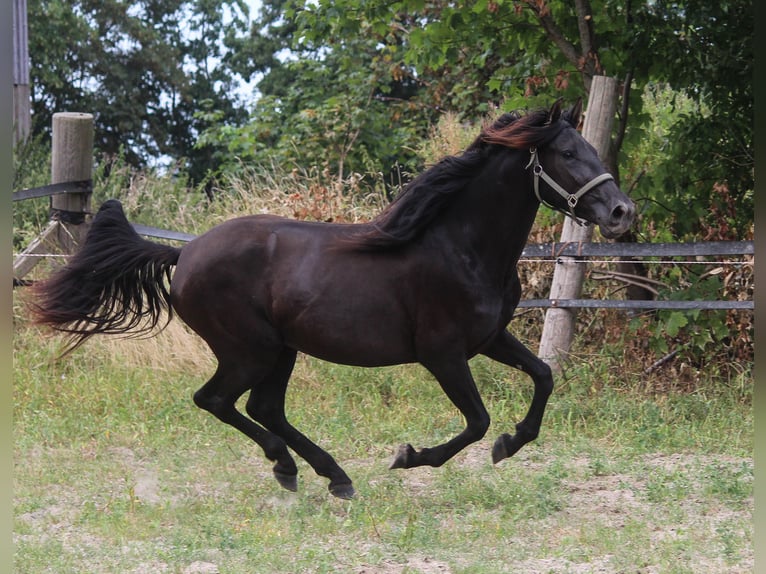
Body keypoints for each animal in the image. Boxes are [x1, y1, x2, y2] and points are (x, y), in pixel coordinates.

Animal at [33, 101, 636, 502]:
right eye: (566, 152)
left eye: (592, 148)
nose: (621, 212)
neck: (460, 246)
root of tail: (183, 255)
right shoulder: (442, 354)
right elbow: (477, 421)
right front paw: (410, 457)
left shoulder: (490, 338)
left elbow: (542, 377)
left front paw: (512, 444)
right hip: (249, 349)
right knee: (218, 400)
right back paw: (296, 468)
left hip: (281, 350)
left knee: (263, 408)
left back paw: (328, 475)